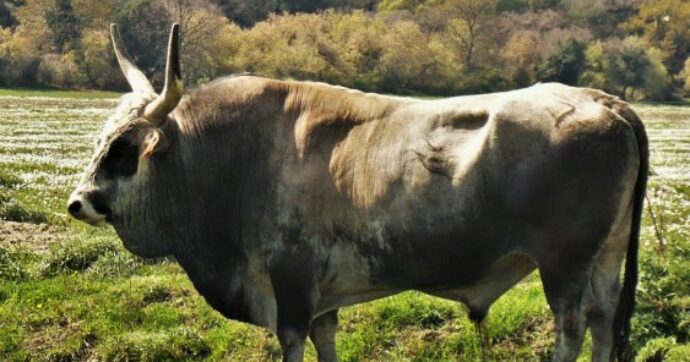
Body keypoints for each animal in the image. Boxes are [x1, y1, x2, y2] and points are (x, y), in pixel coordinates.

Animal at [68, 24, 644, 360]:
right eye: (100, 139)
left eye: (123, 147)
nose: (77, 201)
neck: (234, 155)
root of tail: (601, 99)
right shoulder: (323, 297)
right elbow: (326, 342)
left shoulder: (292, 284)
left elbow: (293, 343)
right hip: (605, 258)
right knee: (602, 322)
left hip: (564, 263)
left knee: (571, 328)